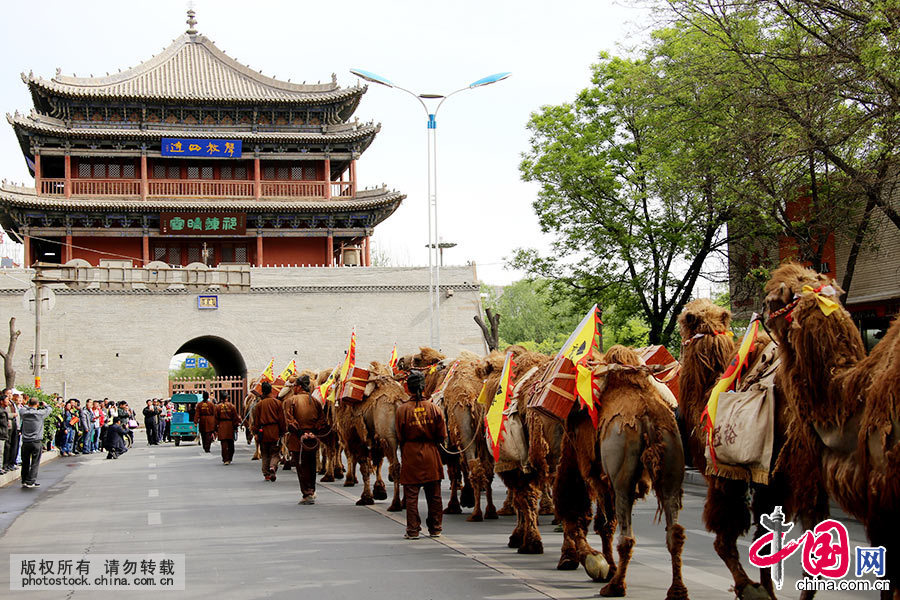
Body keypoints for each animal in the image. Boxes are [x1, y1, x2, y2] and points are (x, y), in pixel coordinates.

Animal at [552, 344, 684, 596]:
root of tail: (647, 417)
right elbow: (605, 523)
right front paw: (602, 565)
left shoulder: (588, 466)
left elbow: (600, 521)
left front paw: (603, 567)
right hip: (671, 468)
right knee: (674, 532)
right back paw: (677, 590)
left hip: (623, 478)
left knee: (627, 536)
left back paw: (615, 586)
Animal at [684, 298, 828, 596]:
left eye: (682, 318)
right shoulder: (770, 480)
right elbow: (766, 539)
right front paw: (764, 589)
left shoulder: (725, 475)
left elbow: (727, 539)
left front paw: (751, 588)